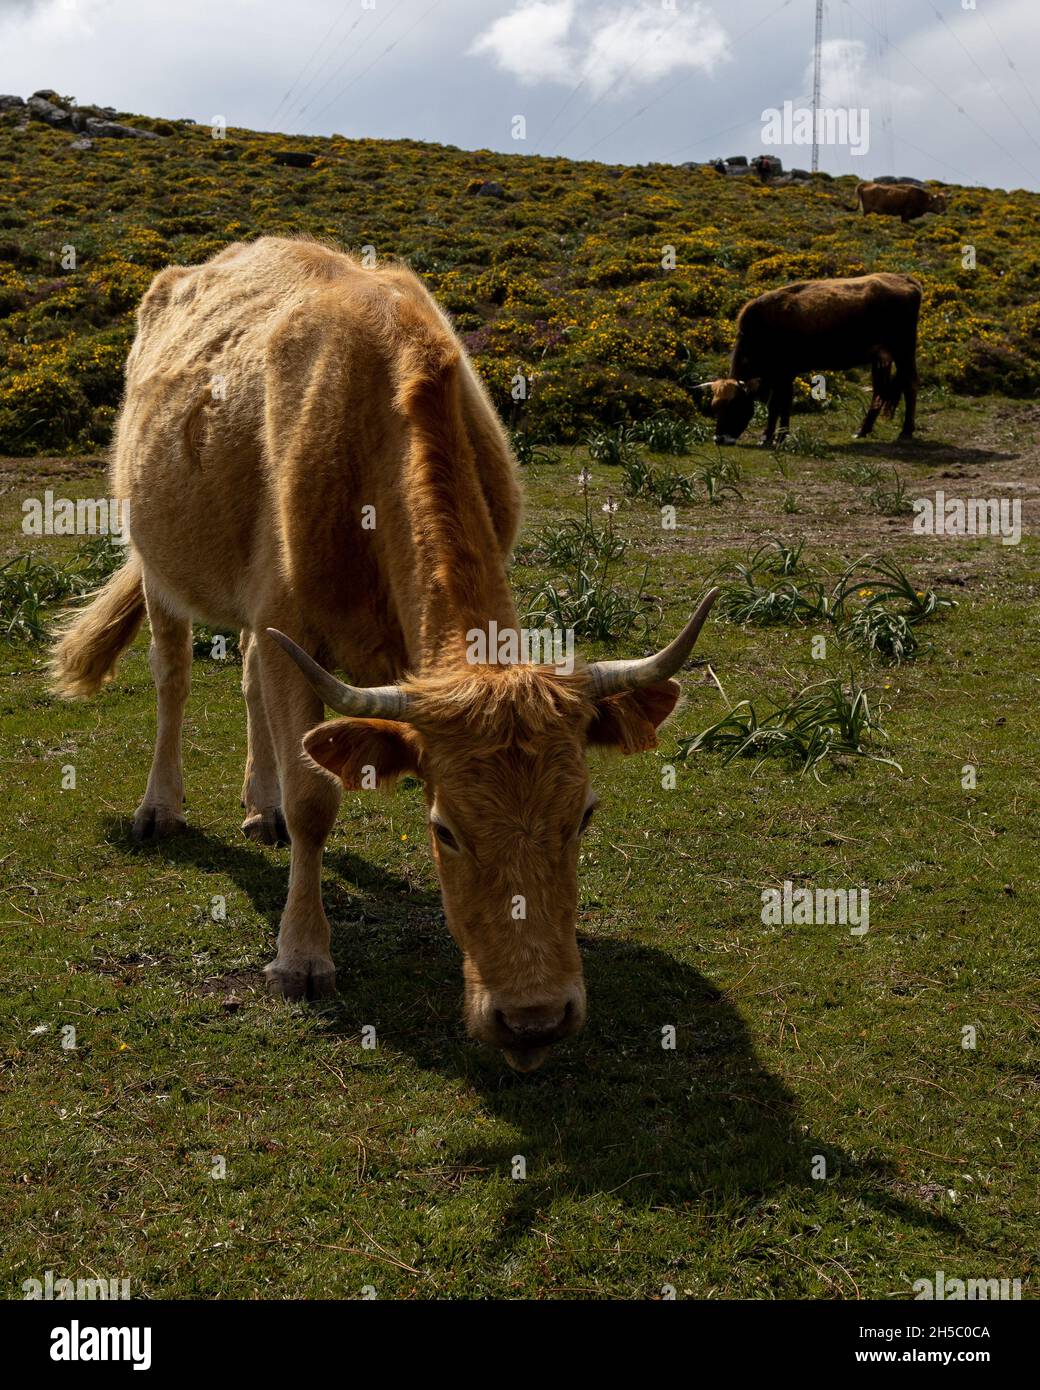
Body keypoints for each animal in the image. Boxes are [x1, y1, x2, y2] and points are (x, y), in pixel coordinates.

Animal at [49, 236, 719, 1074]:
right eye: (444, 829)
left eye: (583, 817)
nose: (535, 1019)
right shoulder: (288, 620)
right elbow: (315, 799)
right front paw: (302, 957)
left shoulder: (290, 628)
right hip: (161, 561)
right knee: (173, 679)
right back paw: (160, 808)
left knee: (248, 679)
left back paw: (259, 804)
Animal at [697, 273, 923, 448]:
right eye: (715, 407)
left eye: (734, 406)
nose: (719, 439)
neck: (760, 330)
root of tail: (906, 279)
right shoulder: (778, 375)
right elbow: (779, 405)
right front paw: (773, 436)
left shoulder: (784, 373)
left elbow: (778, 404)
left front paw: (775, 437)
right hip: (881, 357)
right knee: (879, 392)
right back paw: (863, 430)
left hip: (904, 350)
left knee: (910, 384)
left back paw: (906, 431)